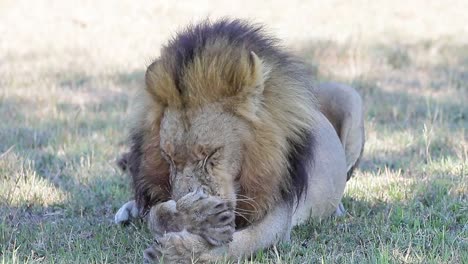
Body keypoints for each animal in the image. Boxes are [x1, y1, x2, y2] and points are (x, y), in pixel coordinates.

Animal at [116, 19, 366, 262]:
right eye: (168, 157)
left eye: (212, 153)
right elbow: (156, 213)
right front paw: (199, 216)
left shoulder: (278, 217)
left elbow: (238, 245)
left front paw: (178, 252)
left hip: (351, 99)